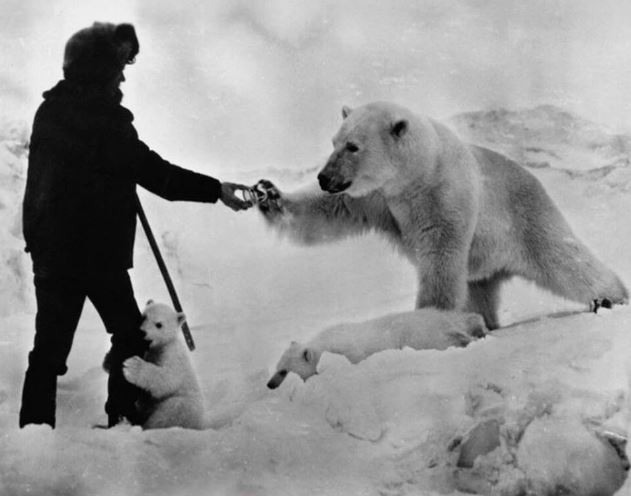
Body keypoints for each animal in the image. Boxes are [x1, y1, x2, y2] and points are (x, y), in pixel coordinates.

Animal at [122, 300, 204, 428]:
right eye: (144, 317)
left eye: (159, 324)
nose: (142, 332)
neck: (160, 346)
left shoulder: (172, 355)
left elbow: (168, 379)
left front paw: (131, 366)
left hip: (181, 406)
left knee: (168, 413)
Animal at [260, 101, 628, 330]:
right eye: (334, 141)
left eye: (353, 146)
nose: (324, 177)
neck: (414, 175)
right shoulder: (377, 198)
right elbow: (328, 211)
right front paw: (268, 194)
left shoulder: (443, 195)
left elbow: (441, 256)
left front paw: (427, 319)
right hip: (484, 259)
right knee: (479, 289)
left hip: (526, 218)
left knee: (565, 261)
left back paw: (611, 297)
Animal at [266, 308, 488, 390]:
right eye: (276, 367)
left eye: (283, 372)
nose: (269, 384)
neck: (323, 347)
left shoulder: (350, 353)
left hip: (420, 334)